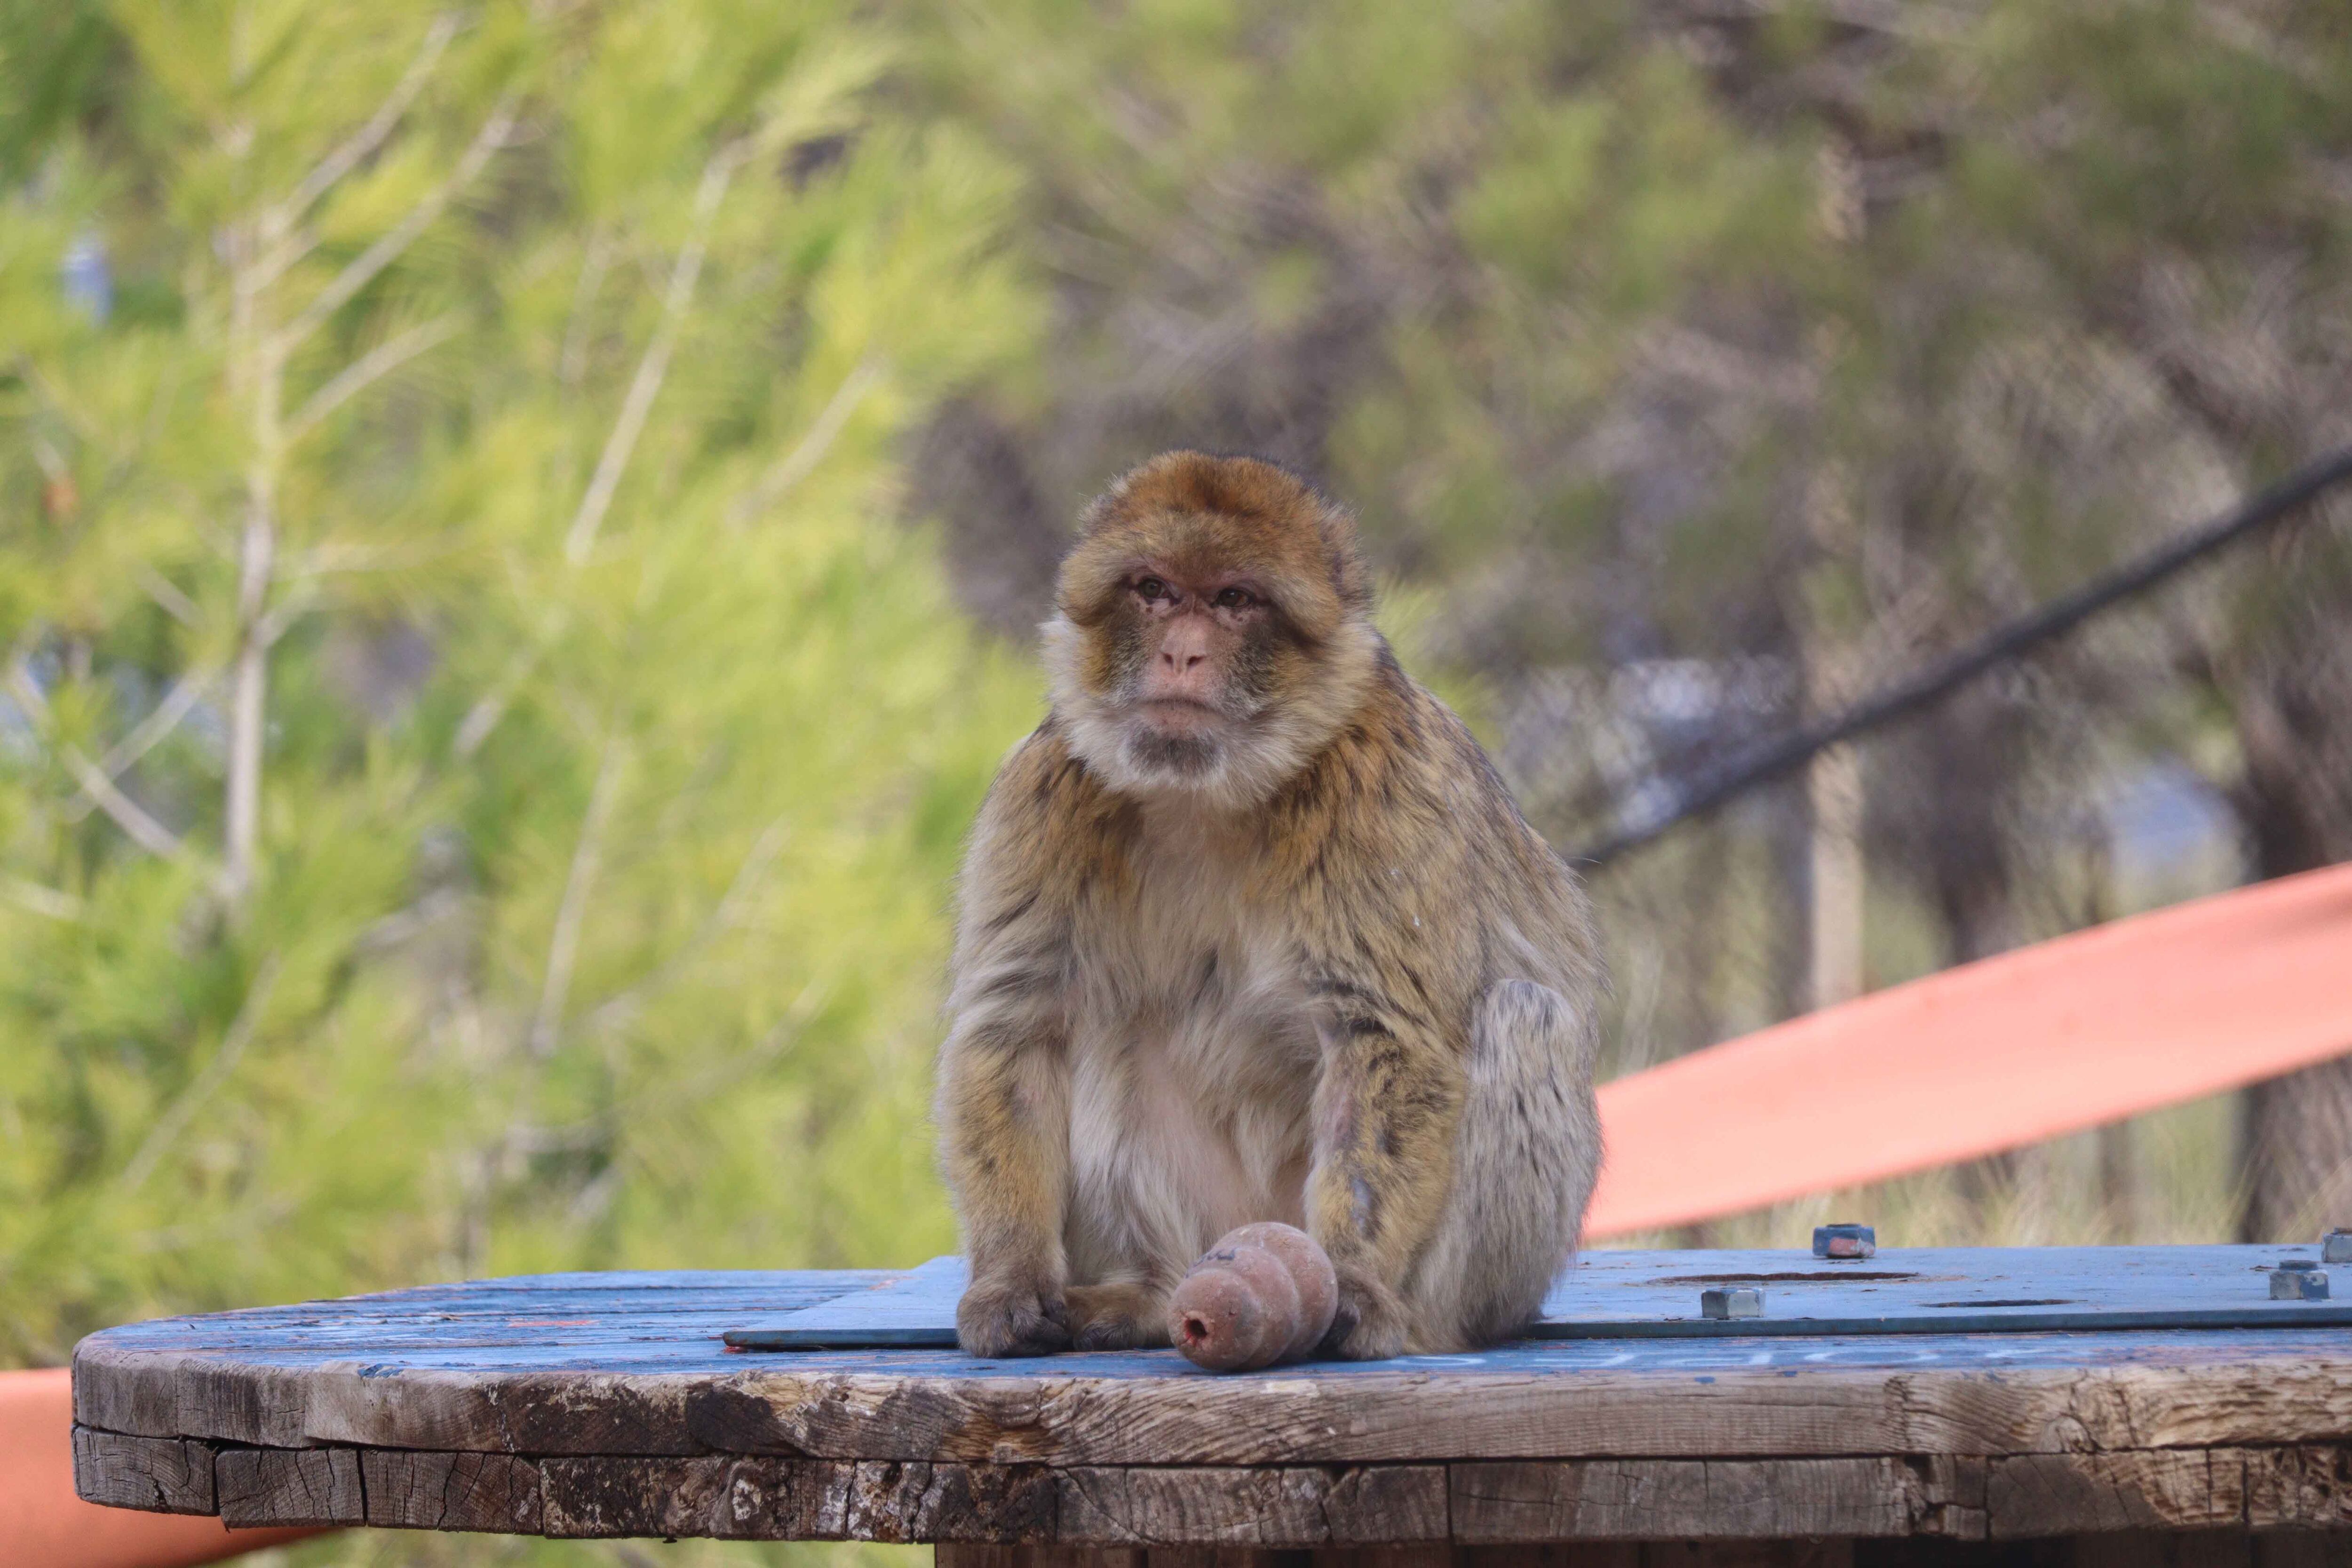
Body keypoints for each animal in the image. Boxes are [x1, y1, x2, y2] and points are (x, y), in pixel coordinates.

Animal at [927, 454, 1609, 1363]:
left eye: (1233, 600)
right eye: (1153, 589)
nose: (1181, 651)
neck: (1210, 794)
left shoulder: (1381, 797)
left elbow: (1385, 1040)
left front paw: (1353, 1280)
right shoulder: (1045, 790)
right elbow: (1016, 1026)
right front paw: (1010, 1279)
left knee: (1525, 1014)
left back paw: (1404, 1318)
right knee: (1104, 1024)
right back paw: (1147, 1297)